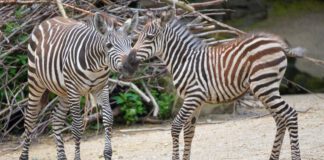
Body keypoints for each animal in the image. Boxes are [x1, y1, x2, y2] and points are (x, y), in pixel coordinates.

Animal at [19, 11, 137, 159]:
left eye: (130, 43)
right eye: (109, 45)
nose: (131, 66)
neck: (96, 66)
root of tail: (48, 20)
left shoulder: (101, 88)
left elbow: (108, 118)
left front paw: (108, 154)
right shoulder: (73, 89)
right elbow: (77, 126)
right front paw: (77, 157)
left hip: (63, 91)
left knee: (56, 118)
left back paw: (61, 157)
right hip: (36, 81)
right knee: (30, 118)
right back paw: (24, 156)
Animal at [124, 12, 304, 160]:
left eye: (150, 37)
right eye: (138, 36)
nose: (127, 63)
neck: (183, 60)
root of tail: (278, 43)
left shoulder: (193, 96)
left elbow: (175, 127)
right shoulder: (196, 100)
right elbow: (189, 132)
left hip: (264, 86)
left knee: (290, 115)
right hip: (265, 89)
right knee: (280, 119)